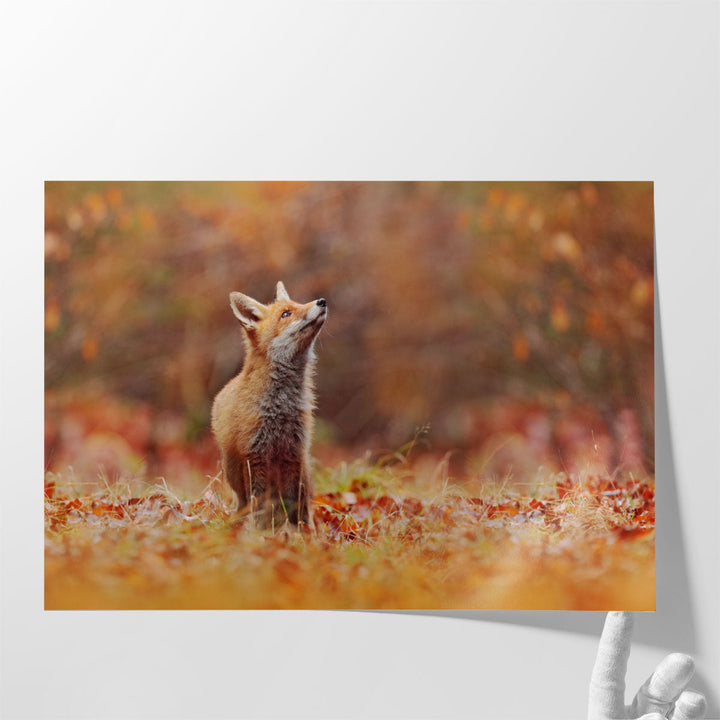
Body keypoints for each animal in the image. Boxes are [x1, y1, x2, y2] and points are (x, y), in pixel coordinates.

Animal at [211, 281, 327, 528]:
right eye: (286, 314)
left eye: (298, 303)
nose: (322, 301)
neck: (281, 408)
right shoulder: (254, 456)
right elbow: (259, 505)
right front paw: (259, 532)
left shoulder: (294, 453)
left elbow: (294, 505)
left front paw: (298, 533)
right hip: (233, 470)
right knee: (245, 502)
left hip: (305, 470)